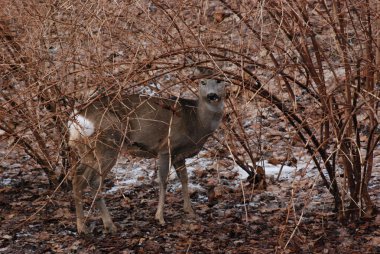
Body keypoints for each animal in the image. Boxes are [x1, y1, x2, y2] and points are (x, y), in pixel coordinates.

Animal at [68, 67, 226, 234]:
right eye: (202, 82)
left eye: (219, 80)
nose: (212, 95)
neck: (195, 121)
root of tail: (77, 119)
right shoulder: (166, 148)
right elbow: (163, 181)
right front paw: (160, 217)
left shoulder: (179, 155)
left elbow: (184, 178)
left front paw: (190, 210)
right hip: (108, 144)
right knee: (93, 181)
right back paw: (107, 225)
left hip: (87, 150)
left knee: (78, 179)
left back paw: (83, 226)